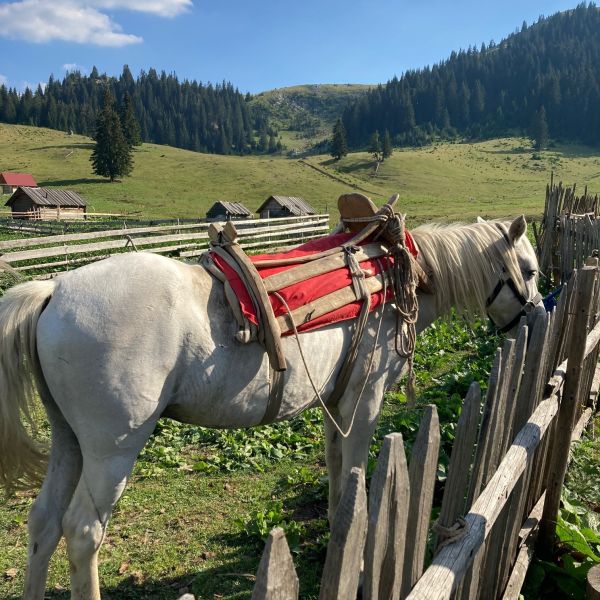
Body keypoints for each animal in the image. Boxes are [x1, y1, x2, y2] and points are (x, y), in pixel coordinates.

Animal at [0, 213, 540, 596]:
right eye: (530, 270)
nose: (536, 314)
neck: (397, 275)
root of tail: (55, 290)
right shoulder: (363, 402)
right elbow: (357, 473)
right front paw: (360, 560)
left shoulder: (336, 402)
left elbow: (337, 468)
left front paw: (338, 532)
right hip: (111, 450)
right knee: (82, 531)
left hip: (69, 441)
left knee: (43, 523)